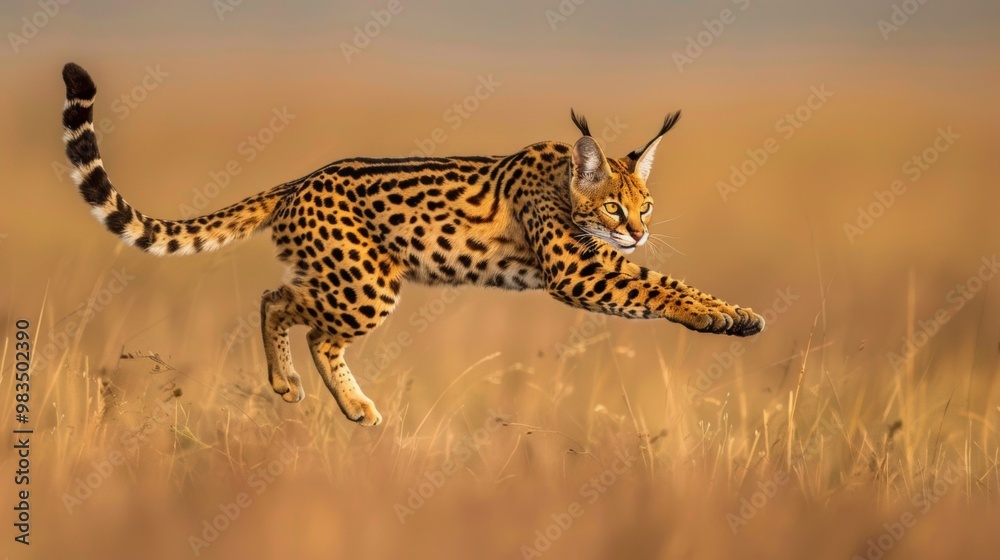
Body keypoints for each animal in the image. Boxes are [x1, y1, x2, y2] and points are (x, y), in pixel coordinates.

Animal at [60, 62, 764, 427]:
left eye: (647, 205)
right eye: (615, 205)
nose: (638, 230)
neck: (566, 183)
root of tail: (300, 178)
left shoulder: (593, 263)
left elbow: (659, 280)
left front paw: (734, 314)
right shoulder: (576, 270)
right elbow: (656, 286)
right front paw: (714, 314)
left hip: (349, 282)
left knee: (295, 313)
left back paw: (339, 401)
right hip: (366, 285)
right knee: (282, 307)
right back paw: (296, 387)